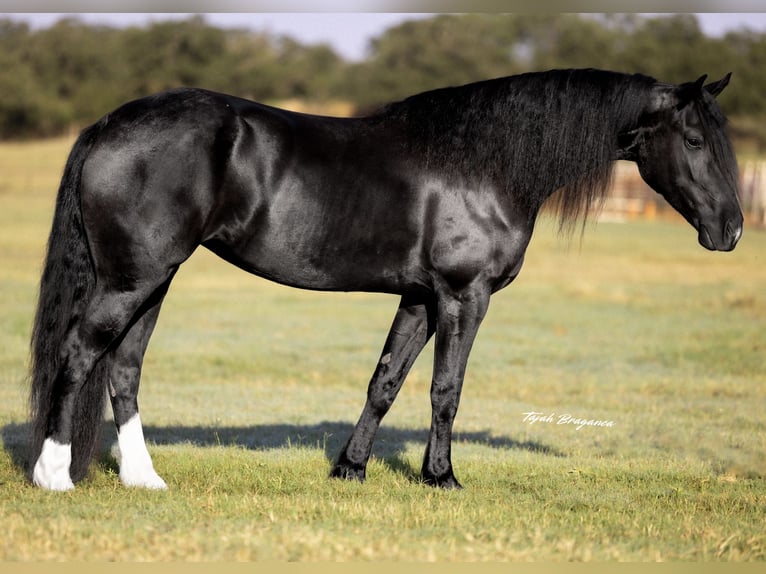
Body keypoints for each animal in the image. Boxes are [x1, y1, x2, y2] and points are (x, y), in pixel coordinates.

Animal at [28, 68, 742, 491]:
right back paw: (54, 474)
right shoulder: (462, 296)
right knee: (79, 353)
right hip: (131, 279)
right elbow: (446, 390)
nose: (732, 230)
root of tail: (108, 125)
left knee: (123, 369)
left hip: (154, 280)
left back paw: (143, 479)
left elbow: (386, 382)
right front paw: (442, 477)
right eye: (694, 141)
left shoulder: (420, 299)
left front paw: (350, 469)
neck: (484, 163)